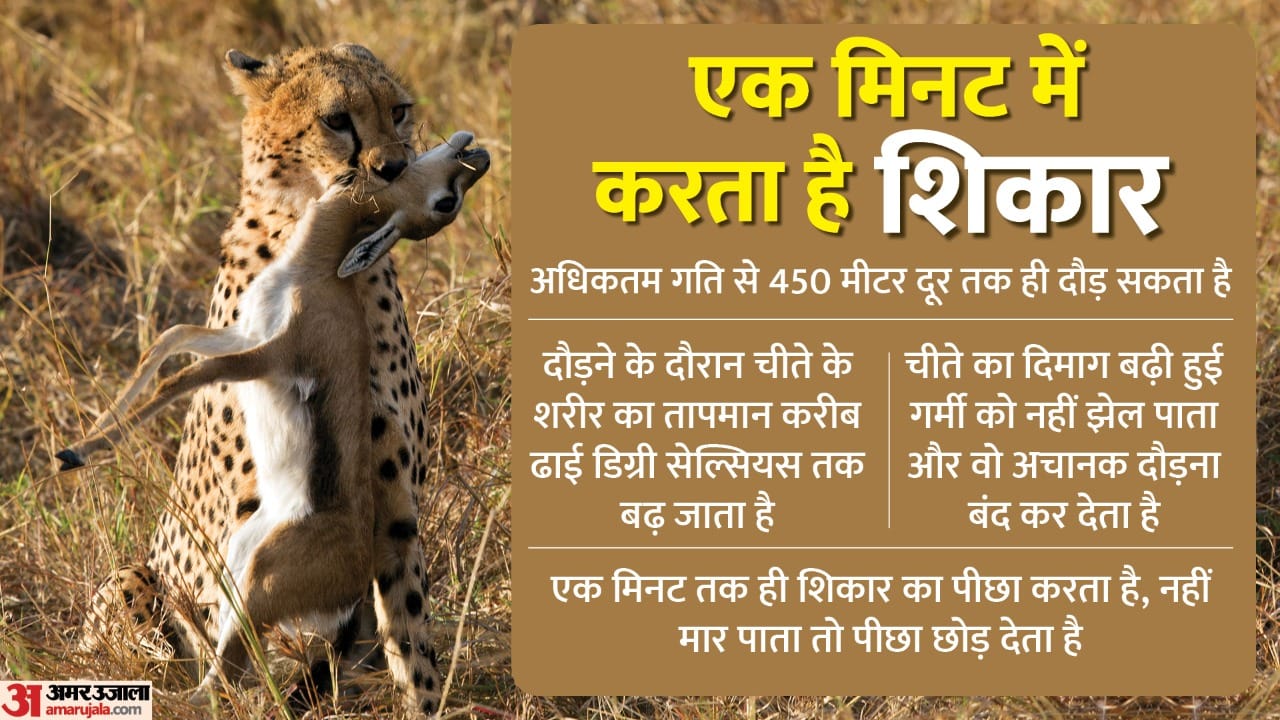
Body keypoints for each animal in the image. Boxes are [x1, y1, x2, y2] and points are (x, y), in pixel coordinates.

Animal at [76, 43, 461, 717]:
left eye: (399, 110)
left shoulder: (393, 509)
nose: (392, 167)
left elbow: (412, 636)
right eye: (336, 120)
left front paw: (426, 699)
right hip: (136, 577)